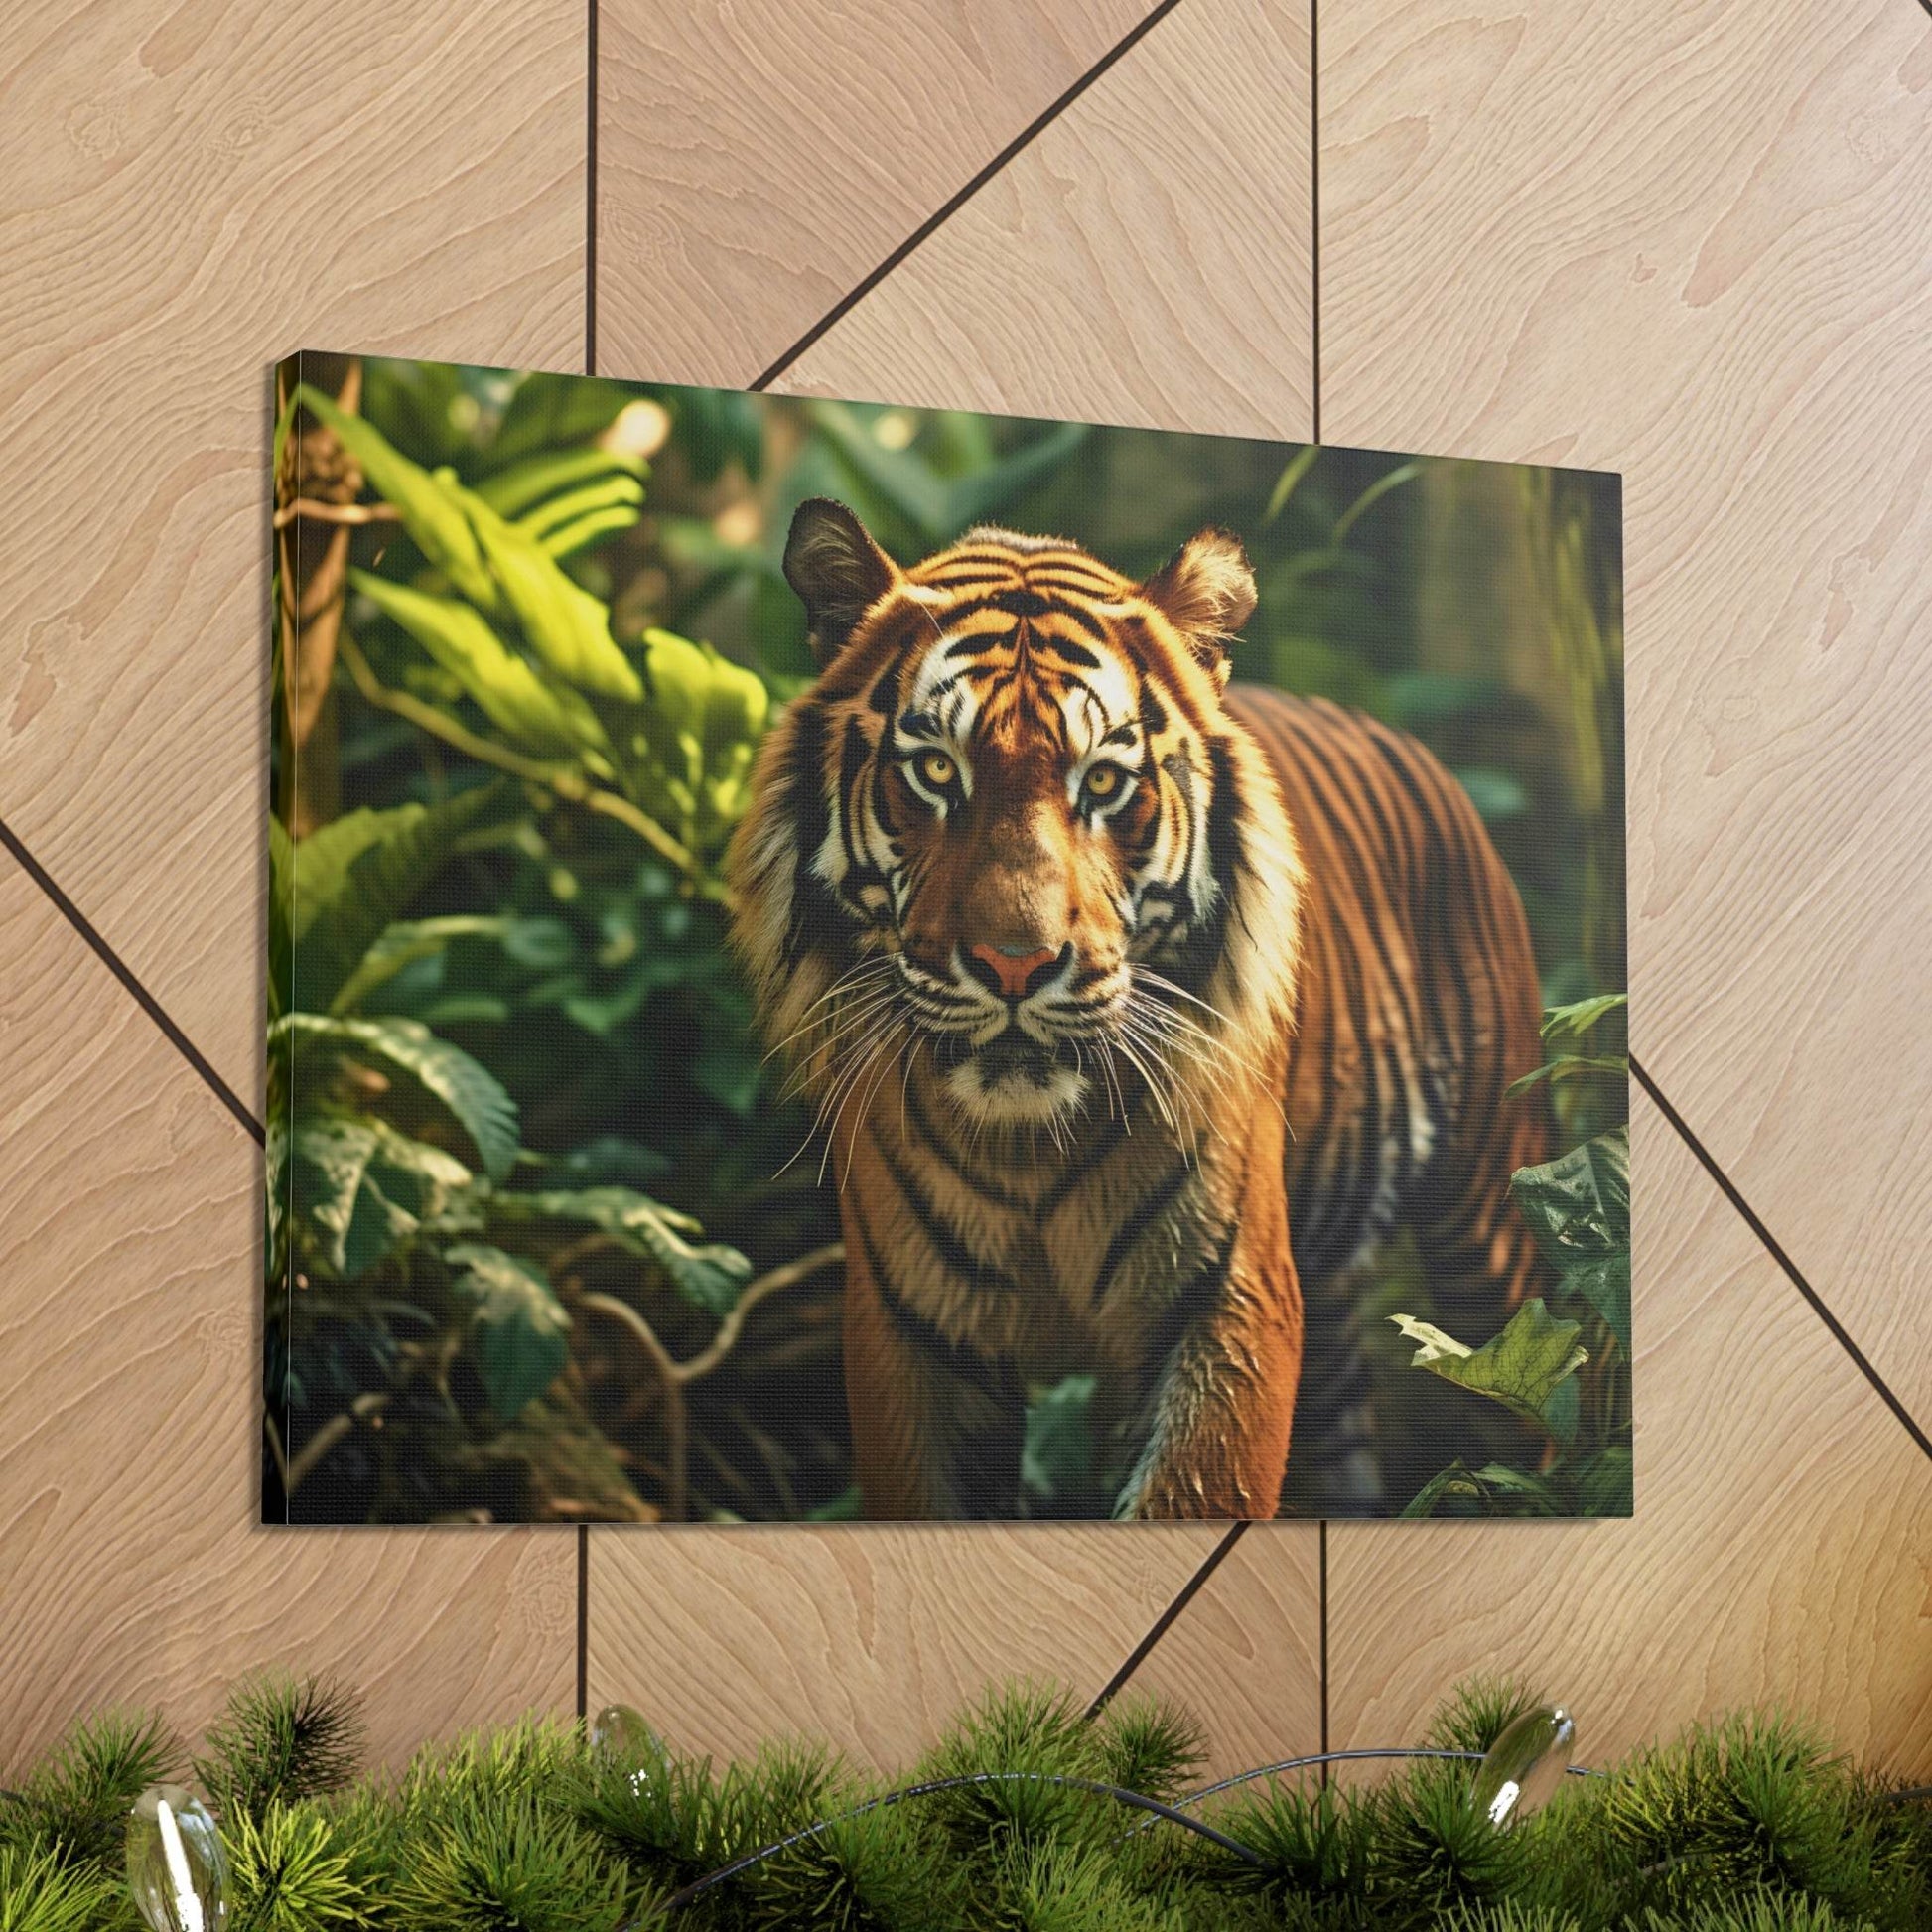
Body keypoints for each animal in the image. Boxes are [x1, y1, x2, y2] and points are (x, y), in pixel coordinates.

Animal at [728, 498, 1549, 1518]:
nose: (1015, 965)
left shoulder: (1227, 1301)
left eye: (1104, 783)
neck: (1029, 1150)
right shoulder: (909, 1332)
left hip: (1492, 1222)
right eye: (935, 773)